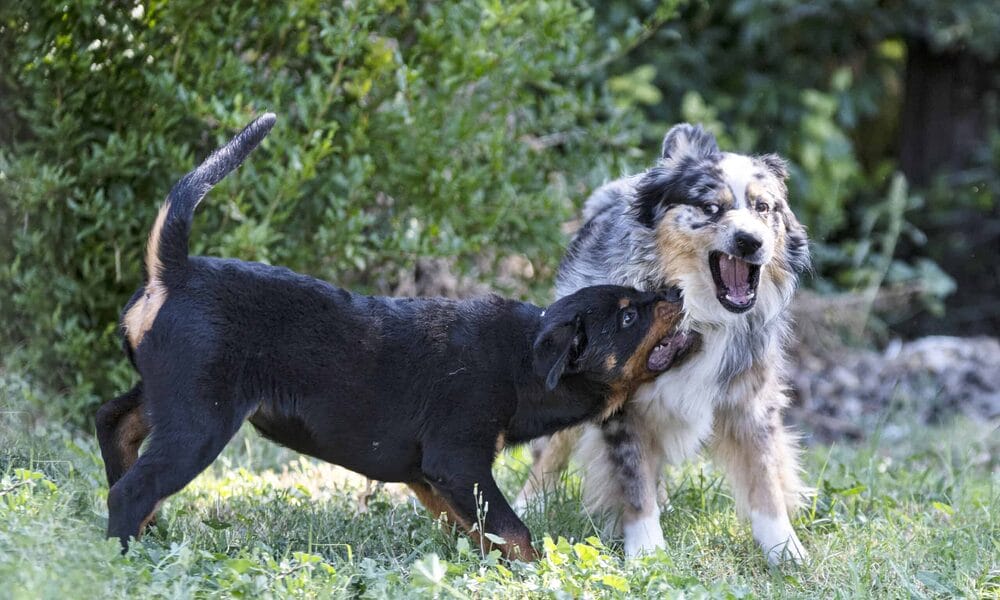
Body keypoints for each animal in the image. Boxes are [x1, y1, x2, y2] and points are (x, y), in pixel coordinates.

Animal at [97, 115, 700, 560]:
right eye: (628, 318)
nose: (675, 292)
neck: (522, 359)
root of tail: (174, 273)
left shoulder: (432, 477)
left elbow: (481, 529)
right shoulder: (457, 459)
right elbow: (515, 530)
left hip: (171, 394)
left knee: (114, 423)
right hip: (202, 415)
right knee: (133, 486)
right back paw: (124, 553)